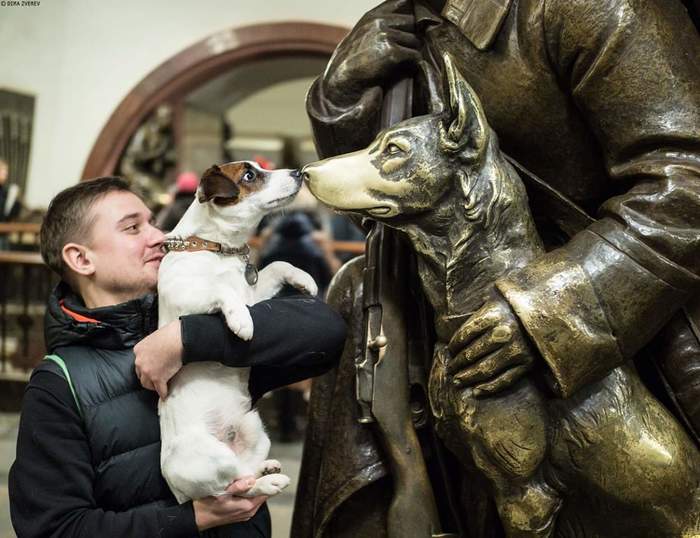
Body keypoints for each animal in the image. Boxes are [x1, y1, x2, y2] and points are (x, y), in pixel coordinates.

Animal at [158, 160, 318, 502]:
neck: (218, 249)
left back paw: (266, 469)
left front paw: (305, 279)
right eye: (249, 176)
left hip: (254, 428)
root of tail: (179, 493)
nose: (298, 172)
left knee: (243, 475)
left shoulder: (254, 296)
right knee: (230, 491)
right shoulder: (184, 297)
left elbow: (279, 265)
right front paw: (241, 322)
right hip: (213, 459)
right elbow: (221, 290)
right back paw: (268, 482)